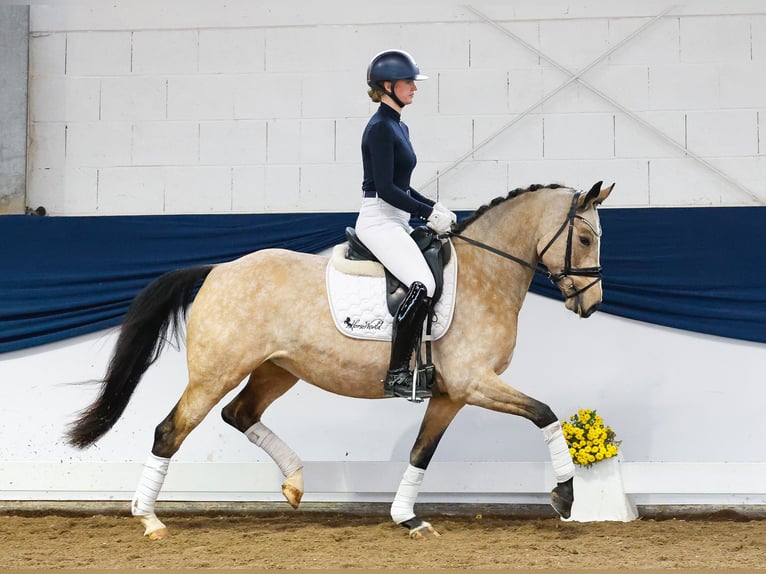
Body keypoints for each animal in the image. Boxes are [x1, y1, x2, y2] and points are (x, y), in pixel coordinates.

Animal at [69, 182, 616, 544]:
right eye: (586, 239)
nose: (591, 304)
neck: (487, 269)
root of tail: (218, 269)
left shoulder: (450, 394)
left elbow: (421, 452)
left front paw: (407, 518)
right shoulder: (474, 383)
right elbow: (545, 414)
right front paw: (565, 497)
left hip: (277, 370)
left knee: (240, 414)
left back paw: (294, 483)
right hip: (215, 373)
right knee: (171, 430)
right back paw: (149, 518)